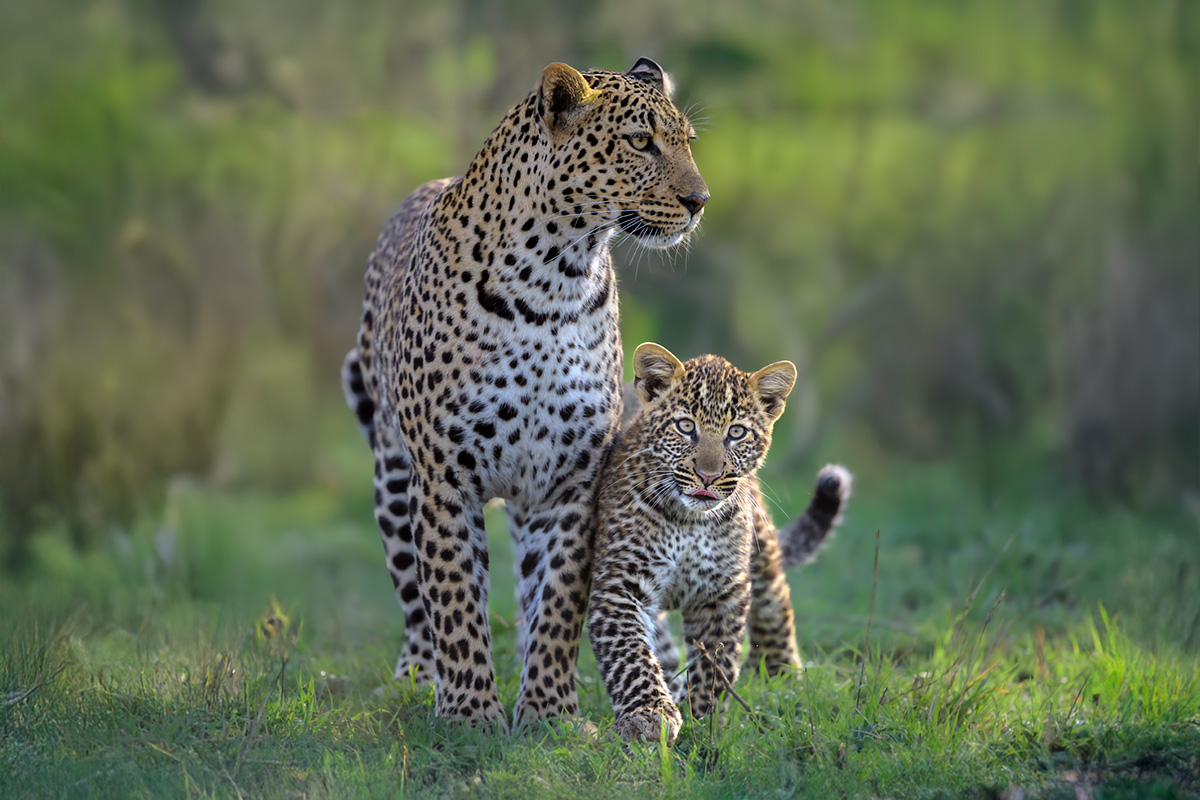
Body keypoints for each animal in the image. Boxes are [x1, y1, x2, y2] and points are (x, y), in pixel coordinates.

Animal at [340, 58, 709, 728]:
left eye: (687, 142)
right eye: (641, 142)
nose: (699, 201)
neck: (556, 278)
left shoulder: (572, 477)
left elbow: (559, 597)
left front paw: (548, 711)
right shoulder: (444, 477)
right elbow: (455, 595)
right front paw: (469, 711)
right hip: (392, 477)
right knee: (413, 599)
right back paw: (416, 678)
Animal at [587, 343, 851, 743]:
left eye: (737, 432)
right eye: (685, 426)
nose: (708, 476)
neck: (688, 521)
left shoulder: (721, 592)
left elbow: (715, 664)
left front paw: (703, 723)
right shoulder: (620, 583)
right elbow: (629, 653)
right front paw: (648, 713)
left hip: (761, 551)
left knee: (775, 602)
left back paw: (783, 678)